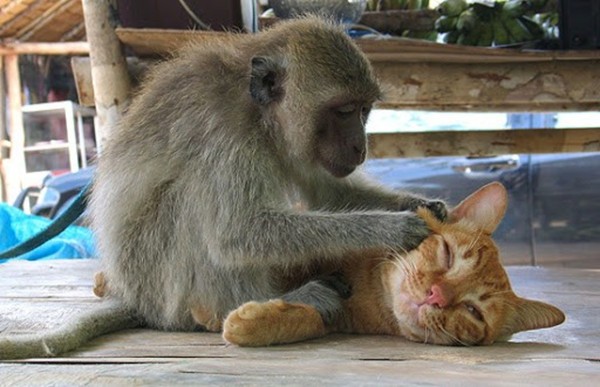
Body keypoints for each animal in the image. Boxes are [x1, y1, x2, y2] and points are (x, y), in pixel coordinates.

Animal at [0, 15, 446, 360]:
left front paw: (420, 203)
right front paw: (389, 229)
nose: (360, 146)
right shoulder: (223, 133)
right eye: (344, 111)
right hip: (159, 284)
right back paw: (262, 304)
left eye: (364, 110)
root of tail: (135, 298)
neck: (259, 116)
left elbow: (329, 194)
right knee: (192, 200)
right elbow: (237, 233)